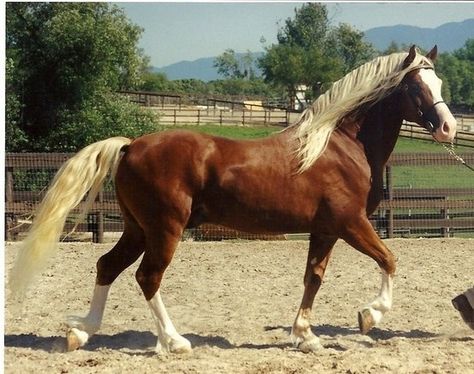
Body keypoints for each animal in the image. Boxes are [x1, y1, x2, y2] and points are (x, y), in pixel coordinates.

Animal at [10, 45, 456, 352]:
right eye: (415, 86)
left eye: (438, 84)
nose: (449, 128)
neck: (339, 146)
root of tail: (131, 145)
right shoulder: (351, 223)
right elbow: (389, 260)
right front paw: (368, 315)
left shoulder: (326, 230)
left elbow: (313, 277)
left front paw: (306, 336)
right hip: (164, 229)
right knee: (147, 277)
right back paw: (174, 342)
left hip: (138, 229)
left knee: (107, 266)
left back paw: (80, 332)